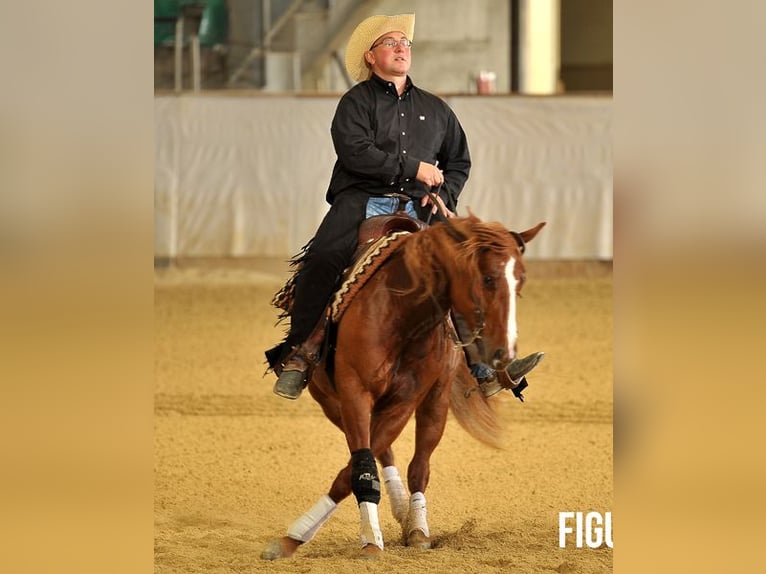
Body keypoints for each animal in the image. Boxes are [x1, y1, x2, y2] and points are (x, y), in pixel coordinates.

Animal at [264, 214, 544, 560]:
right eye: (489, 278)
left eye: (520, 281)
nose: (503, 352)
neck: (403, 314)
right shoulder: (354, 393)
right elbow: (360, 466)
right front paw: (299, 538)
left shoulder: (405, 401)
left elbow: (360, 466)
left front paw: (381, 534)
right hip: (332, 402)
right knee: (378, 450)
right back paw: (400, 510)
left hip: (435, 403)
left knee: (417, 465)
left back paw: (416, 527)